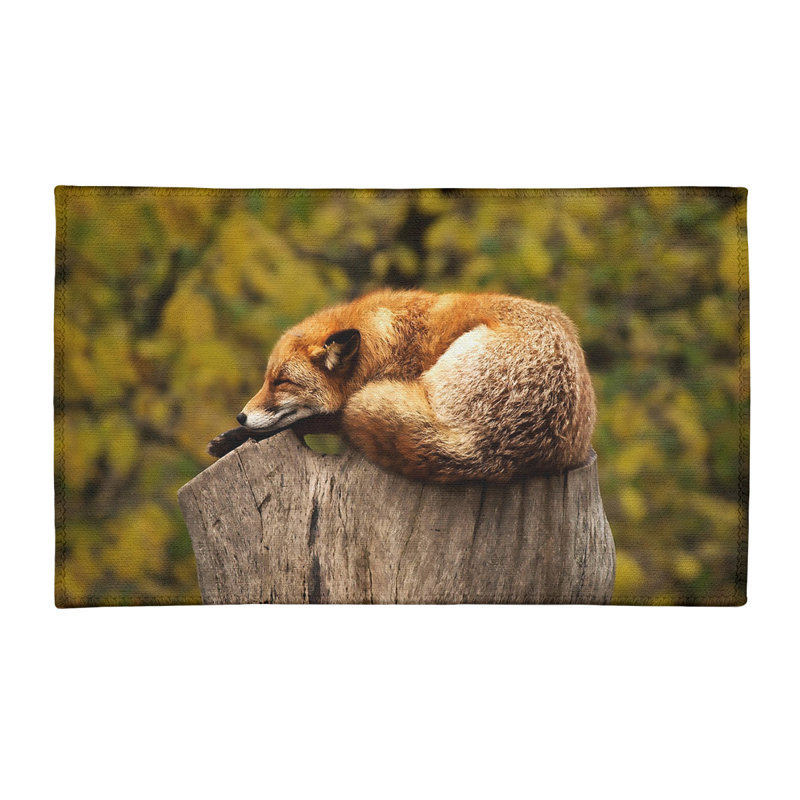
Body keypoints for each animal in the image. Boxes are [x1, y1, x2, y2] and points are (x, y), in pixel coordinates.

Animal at [208, 289, 596, 483]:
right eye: (267, 379)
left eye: (282, 382)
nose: (241, 416)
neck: (384, 344)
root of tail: (487, 451)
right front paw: (233, 436)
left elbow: (314, 420)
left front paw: (236, 436)